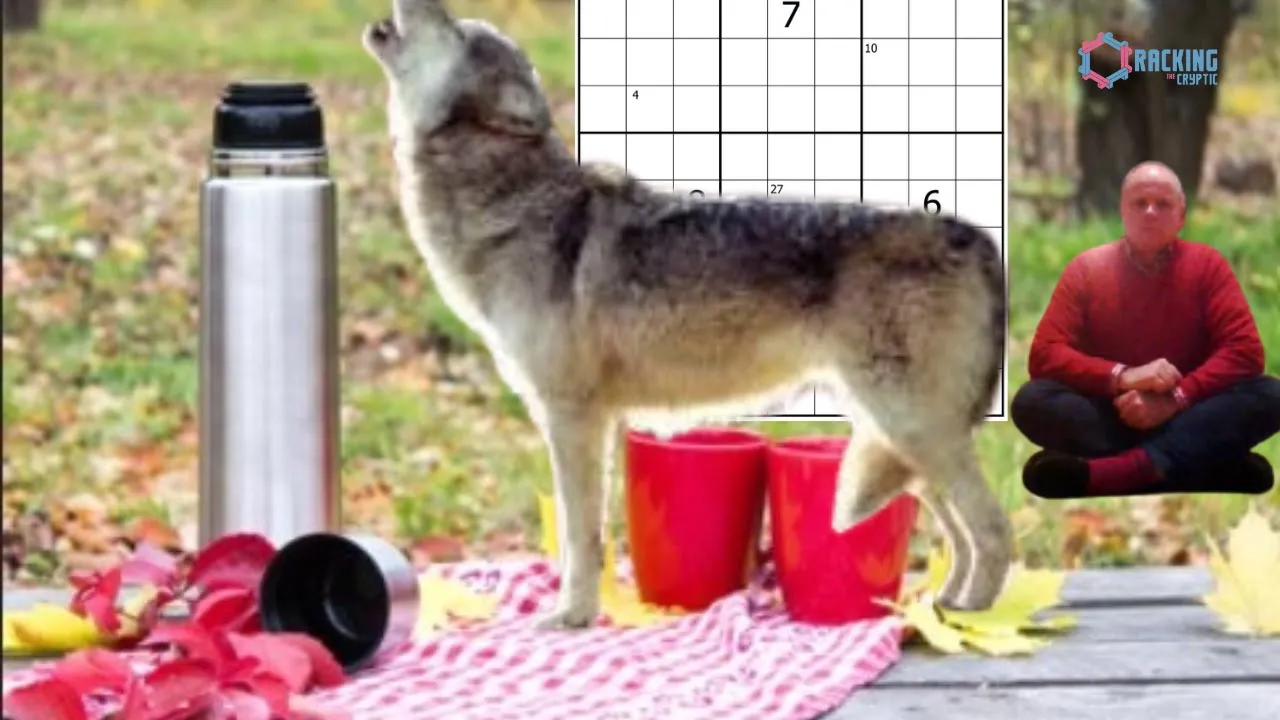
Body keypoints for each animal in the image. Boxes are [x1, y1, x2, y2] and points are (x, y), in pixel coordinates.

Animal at [362, 0, 1014, 629]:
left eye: (457, 31)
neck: (517, 207)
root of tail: (979, 239)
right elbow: (581, 537)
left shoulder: (573, 418)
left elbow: (580, 538)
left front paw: (571, 616)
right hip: (897, 436)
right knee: (960, 532)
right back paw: (944, 606)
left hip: (911, 427)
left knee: (993, 528)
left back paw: (976, 618)